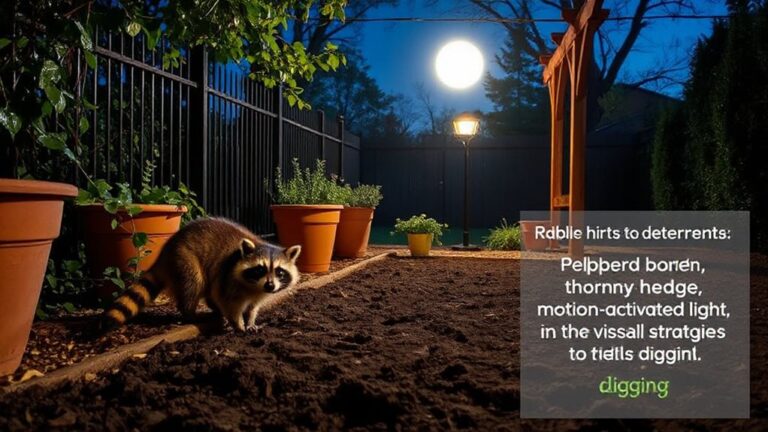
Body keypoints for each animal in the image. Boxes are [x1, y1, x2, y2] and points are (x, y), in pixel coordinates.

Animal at [101, 218, 301, 332]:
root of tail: (165, 252)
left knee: (208, 290)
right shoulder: (228, 279)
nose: (270, 286)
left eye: (279, 271)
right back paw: (190, 313)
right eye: (260, 269)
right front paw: (238, 323)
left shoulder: (258, 293)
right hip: (184, 259)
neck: (254, 286)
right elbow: (229, 303)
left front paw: (250, 320)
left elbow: (252, 307)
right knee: (193, 284)